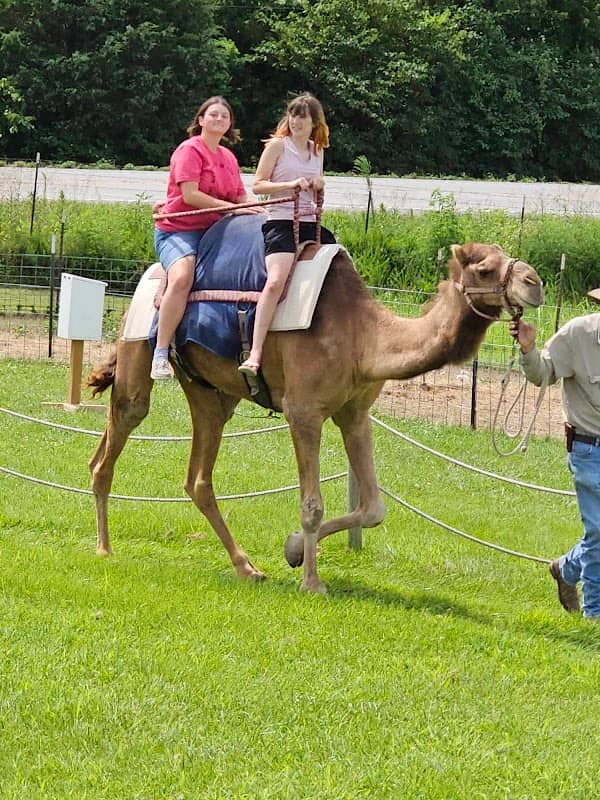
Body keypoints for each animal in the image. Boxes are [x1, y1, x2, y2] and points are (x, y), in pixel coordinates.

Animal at [87, 242, 543, 593]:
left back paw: (247, 567)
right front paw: (311, 581)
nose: (534, 283)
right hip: (138, 352)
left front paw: (291, 549)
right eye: (484, 268)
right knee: (114, 442)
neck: (364, 337)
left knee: (197, 478)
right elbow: (311, 504)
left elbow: (374, 508)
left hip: (210, 391)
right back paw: (105, 548)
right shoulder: (303, 411)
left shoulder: (355, 413)